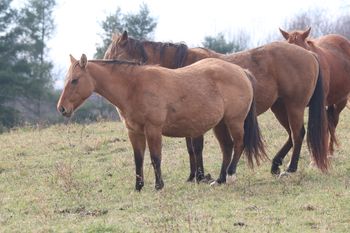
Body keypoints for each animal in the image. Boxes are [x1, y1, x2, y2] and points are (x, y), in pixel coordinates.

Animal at [57, 54, 266, 191]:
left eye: (75, 80)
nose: (62, 108)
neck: (134, 87)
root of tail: (241, 71)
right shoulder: (134, 132)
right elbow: (138, 159)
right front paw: (138, 186)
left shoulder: (153, 130)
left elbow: (155, 158)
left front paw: (159, 185)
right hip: (220, 124)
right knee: (227, 148)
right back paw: (220, 179)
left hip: (234, 121)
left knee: (239, 144)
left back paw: (230, 176)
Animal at [105, 31, 330, 180]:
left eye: (114, 57)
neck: (180, 66)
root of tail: (310, 55)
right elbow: (191, 148)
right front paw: (193, 175)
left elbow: (196, 147)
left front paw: (200, 175)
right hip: (280, 108)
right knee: (292, 135)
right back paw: (276, 165)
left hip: (294, 106)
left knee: (298, 134)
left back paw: (290, 168)